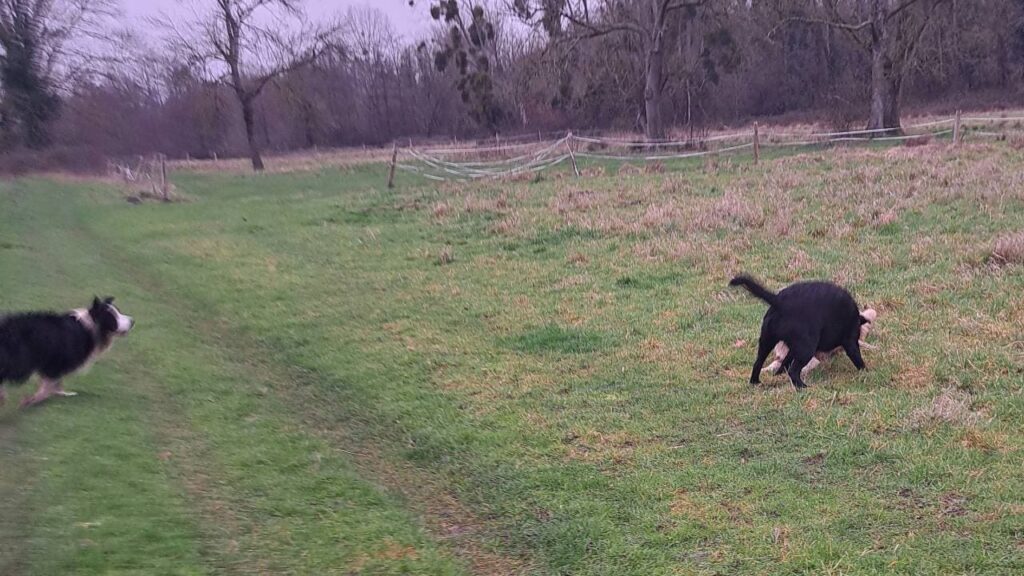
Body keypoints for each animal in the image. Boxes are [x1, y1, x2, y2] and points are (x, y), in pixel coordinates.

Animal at [0, 295, 134, 407]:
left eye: (119, 311)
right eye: (113, 317)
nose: (133, 321)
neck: (90, 325)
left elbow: (55, 381)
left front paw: (60, 393)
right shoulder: (56, 360)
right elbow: (49, 383)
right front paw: (33, 399)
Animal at [733, 274, 868, 389]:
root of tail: (779, 301)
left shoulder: (792, 348)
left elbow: (785, 362)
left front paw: (778, 374)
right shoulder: (850, 341)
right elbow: (857, 358)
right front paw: (866, 371)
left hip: (767, 341)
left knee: (758, 363)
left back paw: (755, 382)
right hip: (807, 348)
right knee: (793, 371)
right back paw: (803, 387)